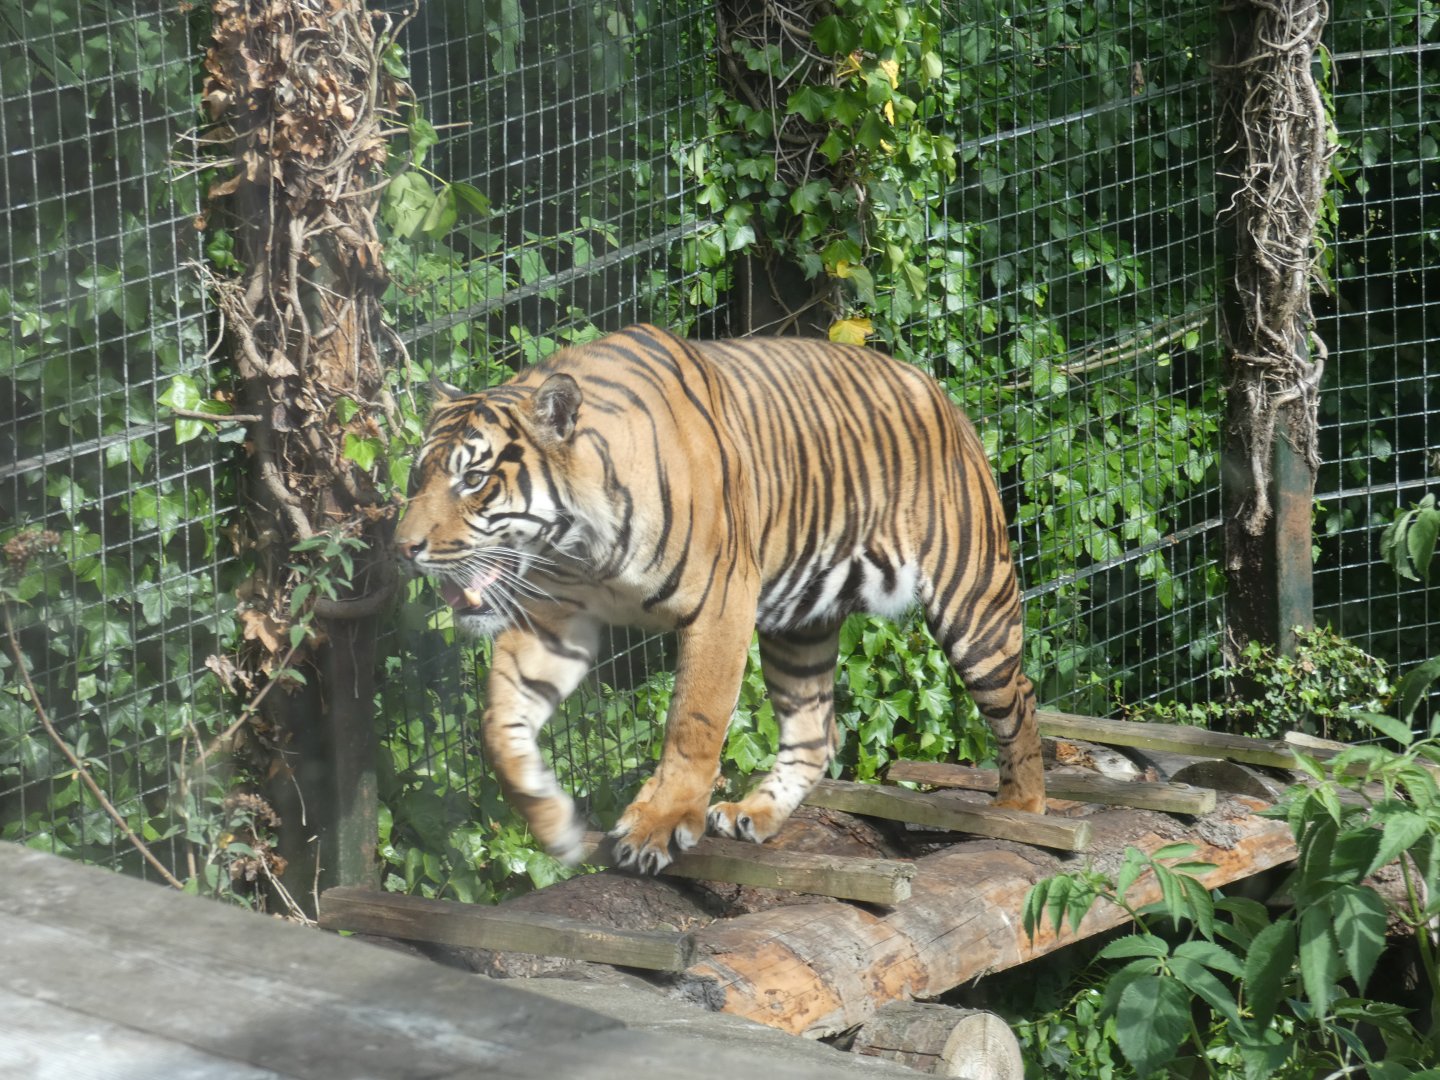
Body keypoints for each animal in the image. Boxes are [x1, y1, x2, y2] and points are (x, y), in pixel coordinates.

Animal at [395, 324, 1045, 873]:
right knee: (816, 731)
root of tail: (933, 385)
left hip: (973, 603)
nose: (404, 548)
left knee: (1019, 696)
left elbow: (694, 721)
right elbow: (499, 725)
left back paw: (1023, 810)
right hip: (800, 623)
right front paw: (553, 822)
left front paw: (655, 827)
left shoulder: (721, 603)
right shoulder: (556, 616)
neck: (579, 544)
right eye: (417, 478)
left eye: (473, 480)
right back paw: (754, 813)